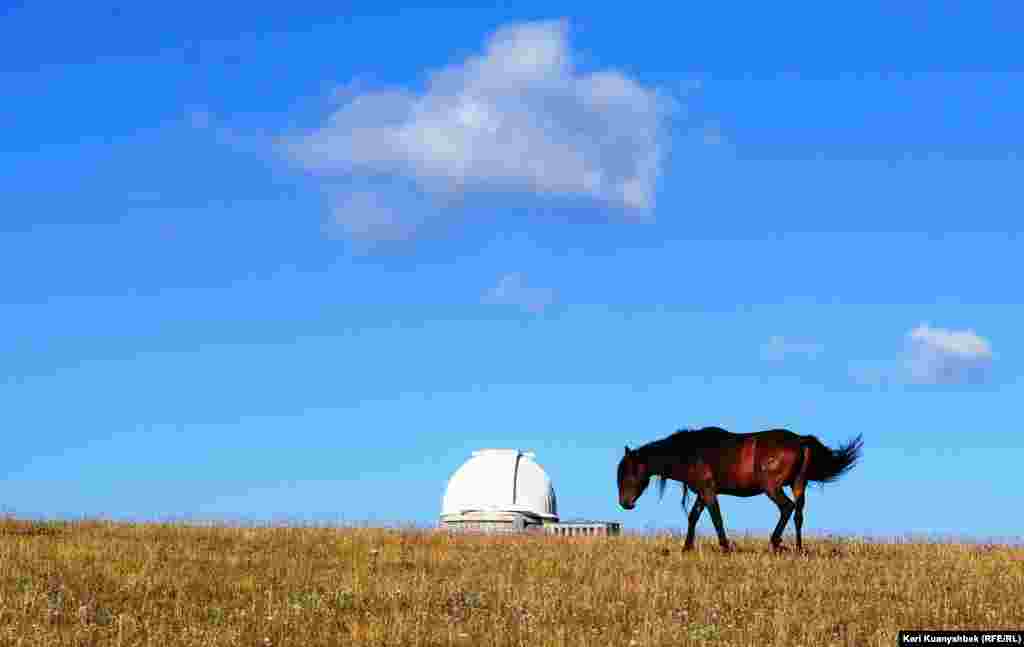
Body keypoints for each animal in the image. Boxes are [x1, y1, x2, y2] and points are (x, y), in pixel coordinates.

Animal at [614, 427, 864, 552]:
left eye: (629, 472)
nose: (625, 503)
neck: (690, 453)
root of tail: (800, 441)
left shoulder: (708, 491)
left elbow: (716, 518)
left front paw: (725, 547)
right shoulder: (702, 493)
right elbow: (694, 517)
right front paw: (687, 547)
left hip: (772, 488)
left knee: (787, 508)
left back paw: (775, 542)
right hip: (798, 485)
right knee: (799, 514)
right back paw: (798, 548)